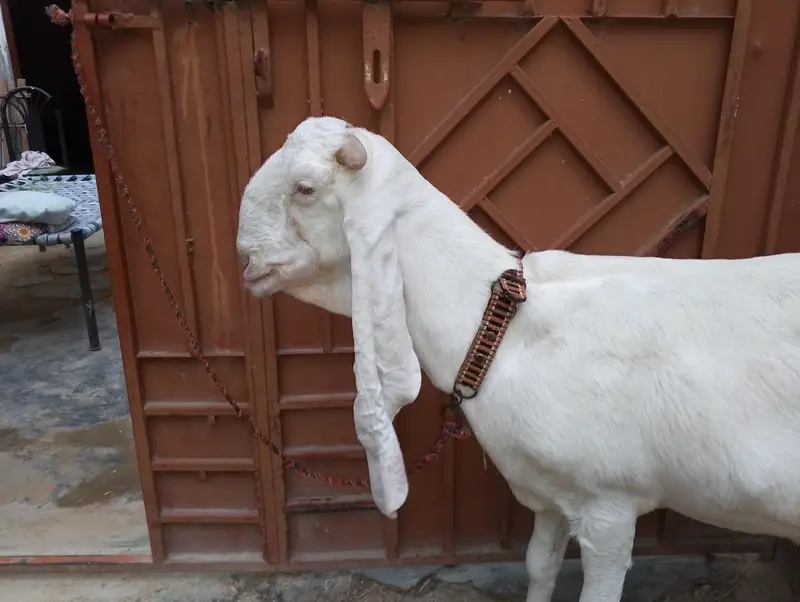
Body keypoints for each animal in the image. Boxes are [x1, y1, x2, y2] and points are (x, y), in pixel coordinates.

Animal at [236, 115, 800, 602]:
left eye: (305, 188)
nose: (245, 261)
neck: (505, 326)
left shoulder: (608, 508)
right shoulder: (552, 494)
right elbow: (538, 565)